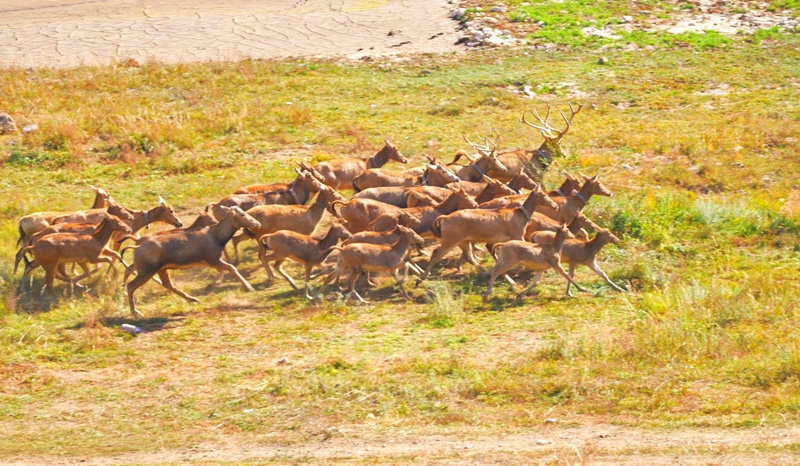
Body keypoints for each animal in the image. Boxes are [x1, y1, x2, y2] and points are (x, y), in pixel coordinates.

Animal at [123, 206, 262, 314]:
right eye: (242, 214)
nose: (257, 223)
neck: (218, 237)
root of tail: (136, 246)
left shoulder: (212, 261)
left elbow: (226, 269)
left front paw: (214, 284)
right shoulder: (213, 259)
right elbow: (231, 267)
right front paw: (249, 287)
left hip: (161, 269)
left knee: (168, 285)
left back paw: (193, 299)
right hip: (146, 271)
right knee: (131, 286)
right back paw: (135, 311)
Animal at [416, 185, 560, 286]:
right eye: (543, 194)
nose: (555, 205)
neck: (520, 215)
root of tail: (445, 218)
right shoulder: (517, 236)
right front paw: (517, 269)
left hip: (463, 241)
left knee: (469, 257)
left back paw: (484, 272)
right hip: (450, 240)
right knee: (436, 254)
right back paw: (421, 278)